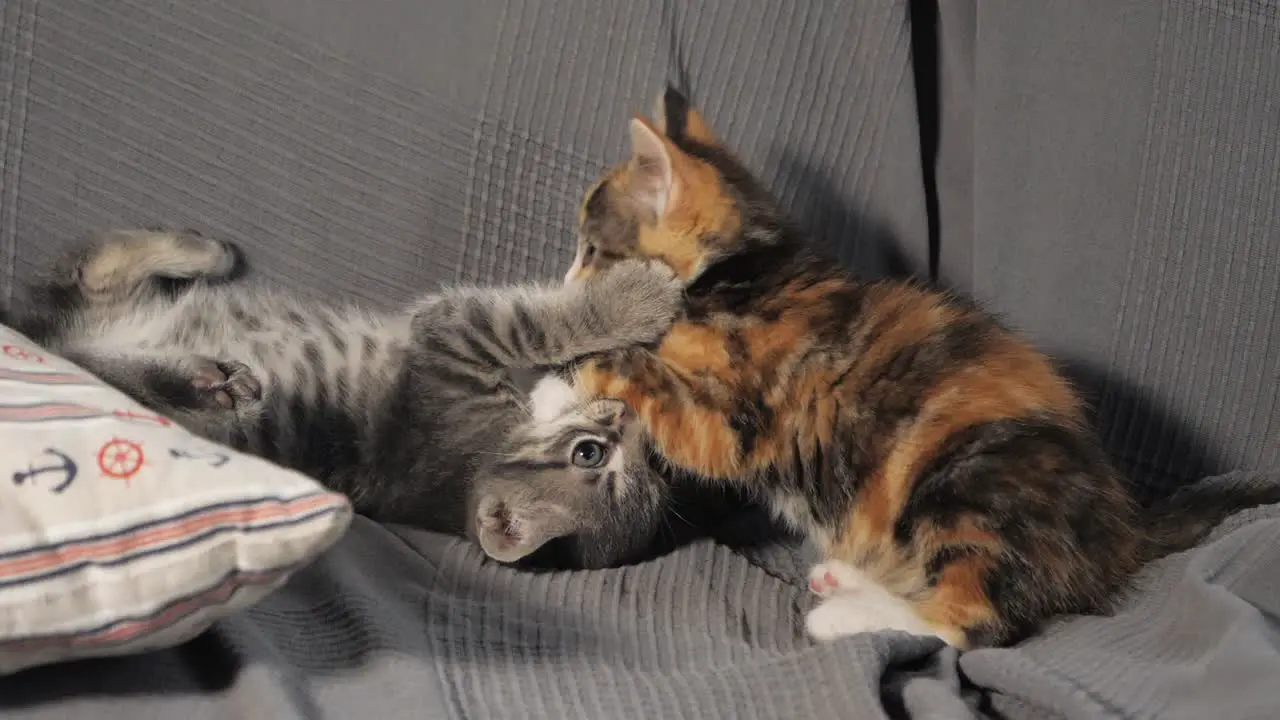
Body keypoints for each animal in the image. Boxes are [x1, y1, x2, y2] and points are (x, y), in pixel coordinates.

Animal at [15, 229, 686, 566]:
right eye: (591, 453)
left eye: (650, 471)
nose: (632, 418)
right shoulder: (456, 336)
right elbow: (540, 323)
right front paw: (638, 299)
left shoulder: (451, 339)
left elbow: (537, 322)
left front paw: (632, 303)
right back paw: (206, 264)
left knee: (90, 313)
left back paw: (207, 366)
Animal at [560, 88, 1280, 645]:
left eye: (592, 250)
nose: (565, 280)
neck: (739, 276)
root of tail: (1124, 530)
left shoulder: (740, 420)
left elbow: (658, 385)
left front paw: (579, 366)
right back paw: (847, 575)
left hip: (970, 480)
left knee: (965, 625)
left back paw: (842, 614)